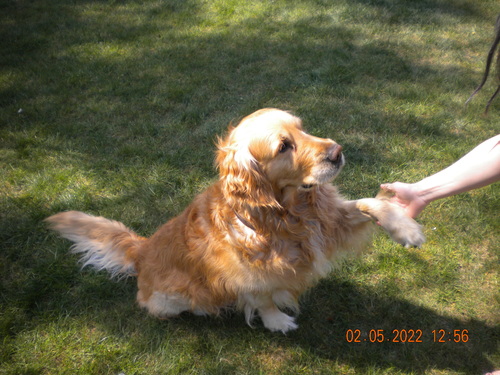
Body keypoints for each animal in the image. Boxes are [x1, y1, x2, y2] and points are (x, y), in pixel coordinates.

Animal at [45, 109, 424, 334]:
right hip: (171, 298)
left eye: (303, 129)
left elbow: (368, 203)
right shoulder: (248, 274)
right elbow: (263, 299)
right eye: (283, 146)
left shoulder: (328, 221)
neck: (286, 214)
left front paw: (404, 227)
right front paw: (278, 322)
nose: (337, 152)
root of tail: (142, 248)